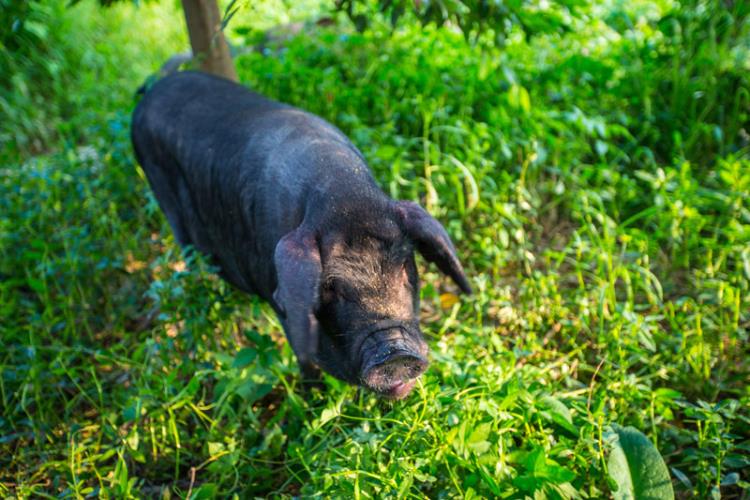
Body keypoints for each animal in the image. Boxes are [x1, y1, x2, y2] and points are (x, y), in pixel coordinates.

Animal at [129, 71, 470, 398]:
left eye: (404, 266)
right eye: (330, 288)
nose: (395, 352)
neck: (341, 192)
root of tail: (154, 88)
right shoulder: (280, 298)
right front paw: (314, 398)